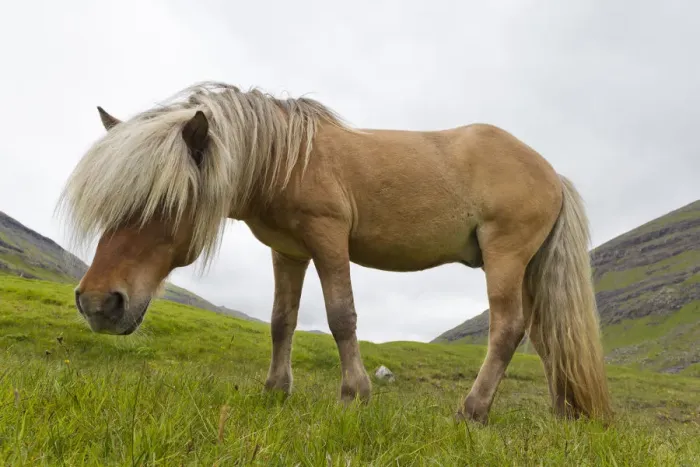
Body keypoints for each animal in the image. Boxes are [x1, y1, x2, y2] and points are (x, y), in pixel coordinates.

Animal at [57, 81, 612, 424]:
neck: (284, 159)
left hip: (505, 257)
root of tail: (551, 173)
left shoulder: (329, 238)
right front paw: (275, 390)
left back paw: (472, 411)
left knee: (508, 329)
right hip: (528, 268)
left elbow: (341, 315)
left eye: (164, 203)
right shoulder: (287, 253)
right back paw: (563, 413)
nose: (98, 304)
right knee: (544, 334)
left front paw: (354, 396)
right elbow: (281, 321)